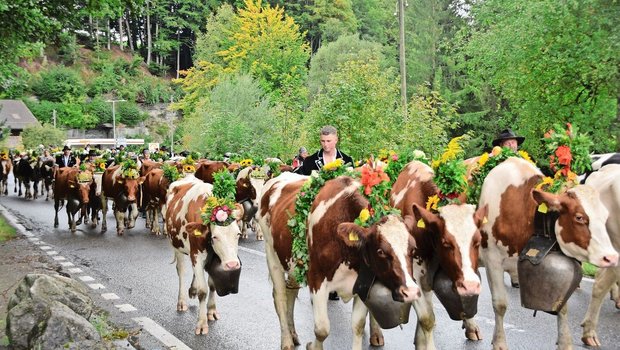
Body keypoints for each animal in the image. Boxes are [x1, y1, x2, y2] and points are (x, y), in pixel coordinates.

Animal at [163, 176, 243, 334]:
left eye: (238, 234)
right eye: (215, 237)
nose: (232, 264)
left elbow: (212, 285)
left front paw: (211, 310)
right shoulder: (196, 255)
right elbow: (203, 290)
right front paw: (201, 323)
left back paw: (192, 290)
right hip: (177, 245)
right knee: (181, 271)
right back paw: (181, 301)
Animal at [256, 172, 422, 350]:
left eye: (413, 249)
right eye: (380, 251)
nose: (411, 291)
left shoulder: (362, 285)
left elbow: (357, 326)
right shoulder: (316, 279)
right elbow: (322, 328)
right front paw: (312, 346)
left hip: (294, 263)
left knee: (291, 292)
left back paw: (293, 335)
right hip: (272, 255)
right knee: (280, 297)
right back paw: (286, 341)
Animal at [474, 157, 616, 348]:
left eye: (605, 216)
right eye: (579, 217)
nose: (611, 257)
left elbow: (562, 308)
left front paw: (565, 342)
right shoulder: (492, 260)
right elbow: (500, 304)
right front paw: (500, 343)